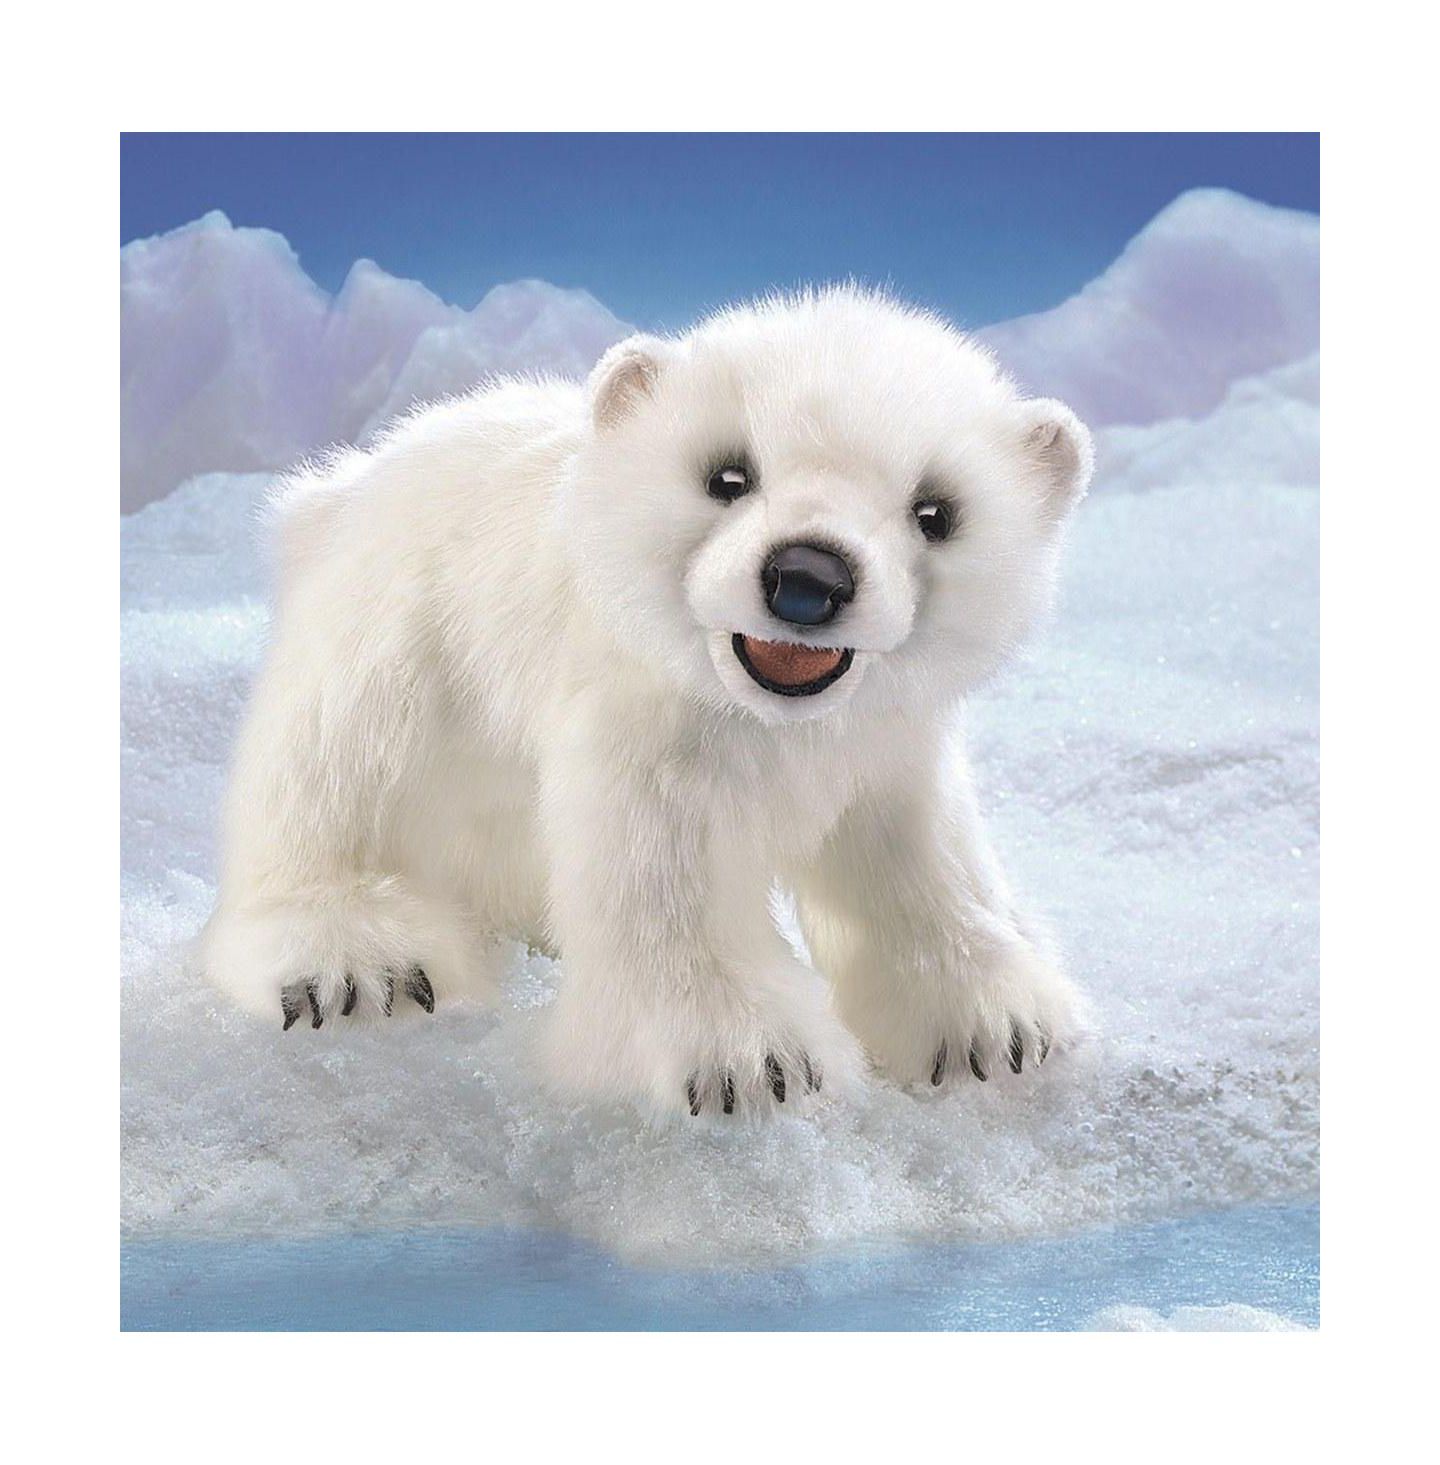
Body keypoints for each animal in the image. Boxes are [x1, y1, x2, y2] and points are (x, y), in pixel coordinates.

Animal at [201, 288, 1094, 1118]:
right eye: (728, 476)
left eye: (935, 511)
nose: (808, 576)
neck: (773, 721)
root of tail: (333, 489)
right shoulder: (651, 731)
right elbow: (665, 877)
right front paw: (752, 1064)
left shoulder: (887, 744)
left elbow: (919, 854)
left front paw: (995, 1028)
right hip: (400, 633)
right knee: (335, 768)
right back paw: (359, 962)